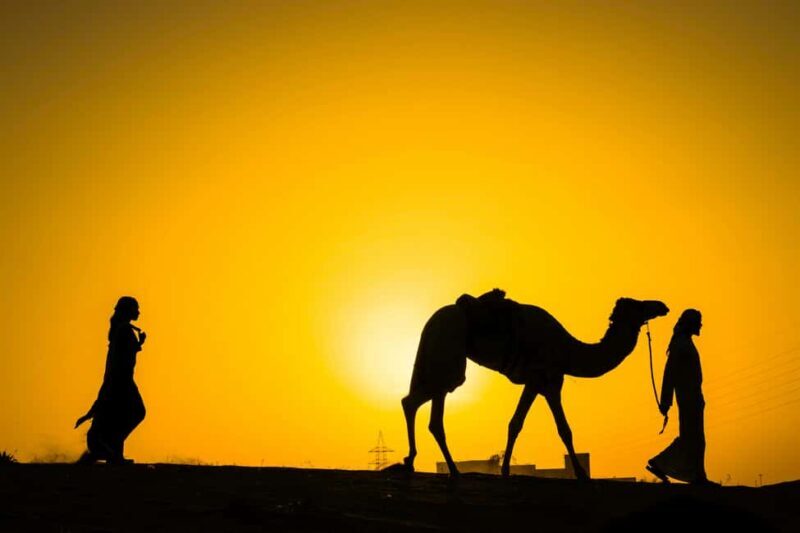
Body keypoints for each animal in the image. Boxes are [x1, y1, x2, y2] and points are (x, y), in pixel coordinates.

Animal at [400, 291, 669, 479]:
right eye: (638, 305)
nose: (661, 306)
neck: (568, 351)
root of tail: (431, 321)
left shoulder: (533, 383)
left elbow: (515, 424)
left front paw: (505, 470)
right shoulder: (548, 380)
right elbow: (564, 429)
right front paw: (581, 473)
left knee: (415, 403)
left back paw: (415, 462)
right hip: (450, 355)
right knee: (428, 408)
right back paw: (446, 469)